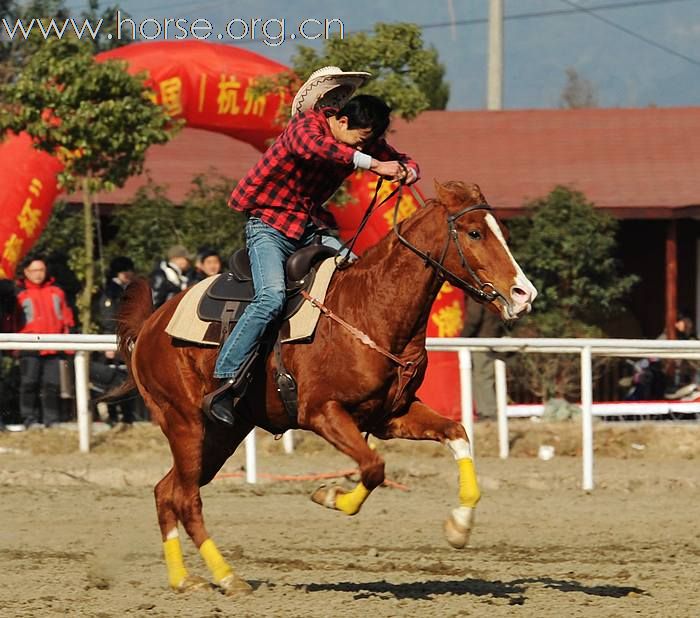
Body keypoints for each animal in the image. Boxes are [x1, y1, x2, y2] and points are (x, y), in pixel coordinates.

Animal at [117, 180, 540, 596]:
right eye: (474, 232)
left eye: (501, 230)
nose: (524, 294)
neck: (368, 308)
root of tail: (151, 325)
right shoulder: (322, 412)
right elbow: (373, 467)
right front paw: (331, 496)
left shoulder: (393, 415)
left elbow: (456, 433)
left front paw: (458, 527)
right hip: (187, 423)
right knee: (186, 498)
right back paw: (227, 577)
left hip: (222, 434)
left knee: (166, 491)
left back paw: (184, 579)